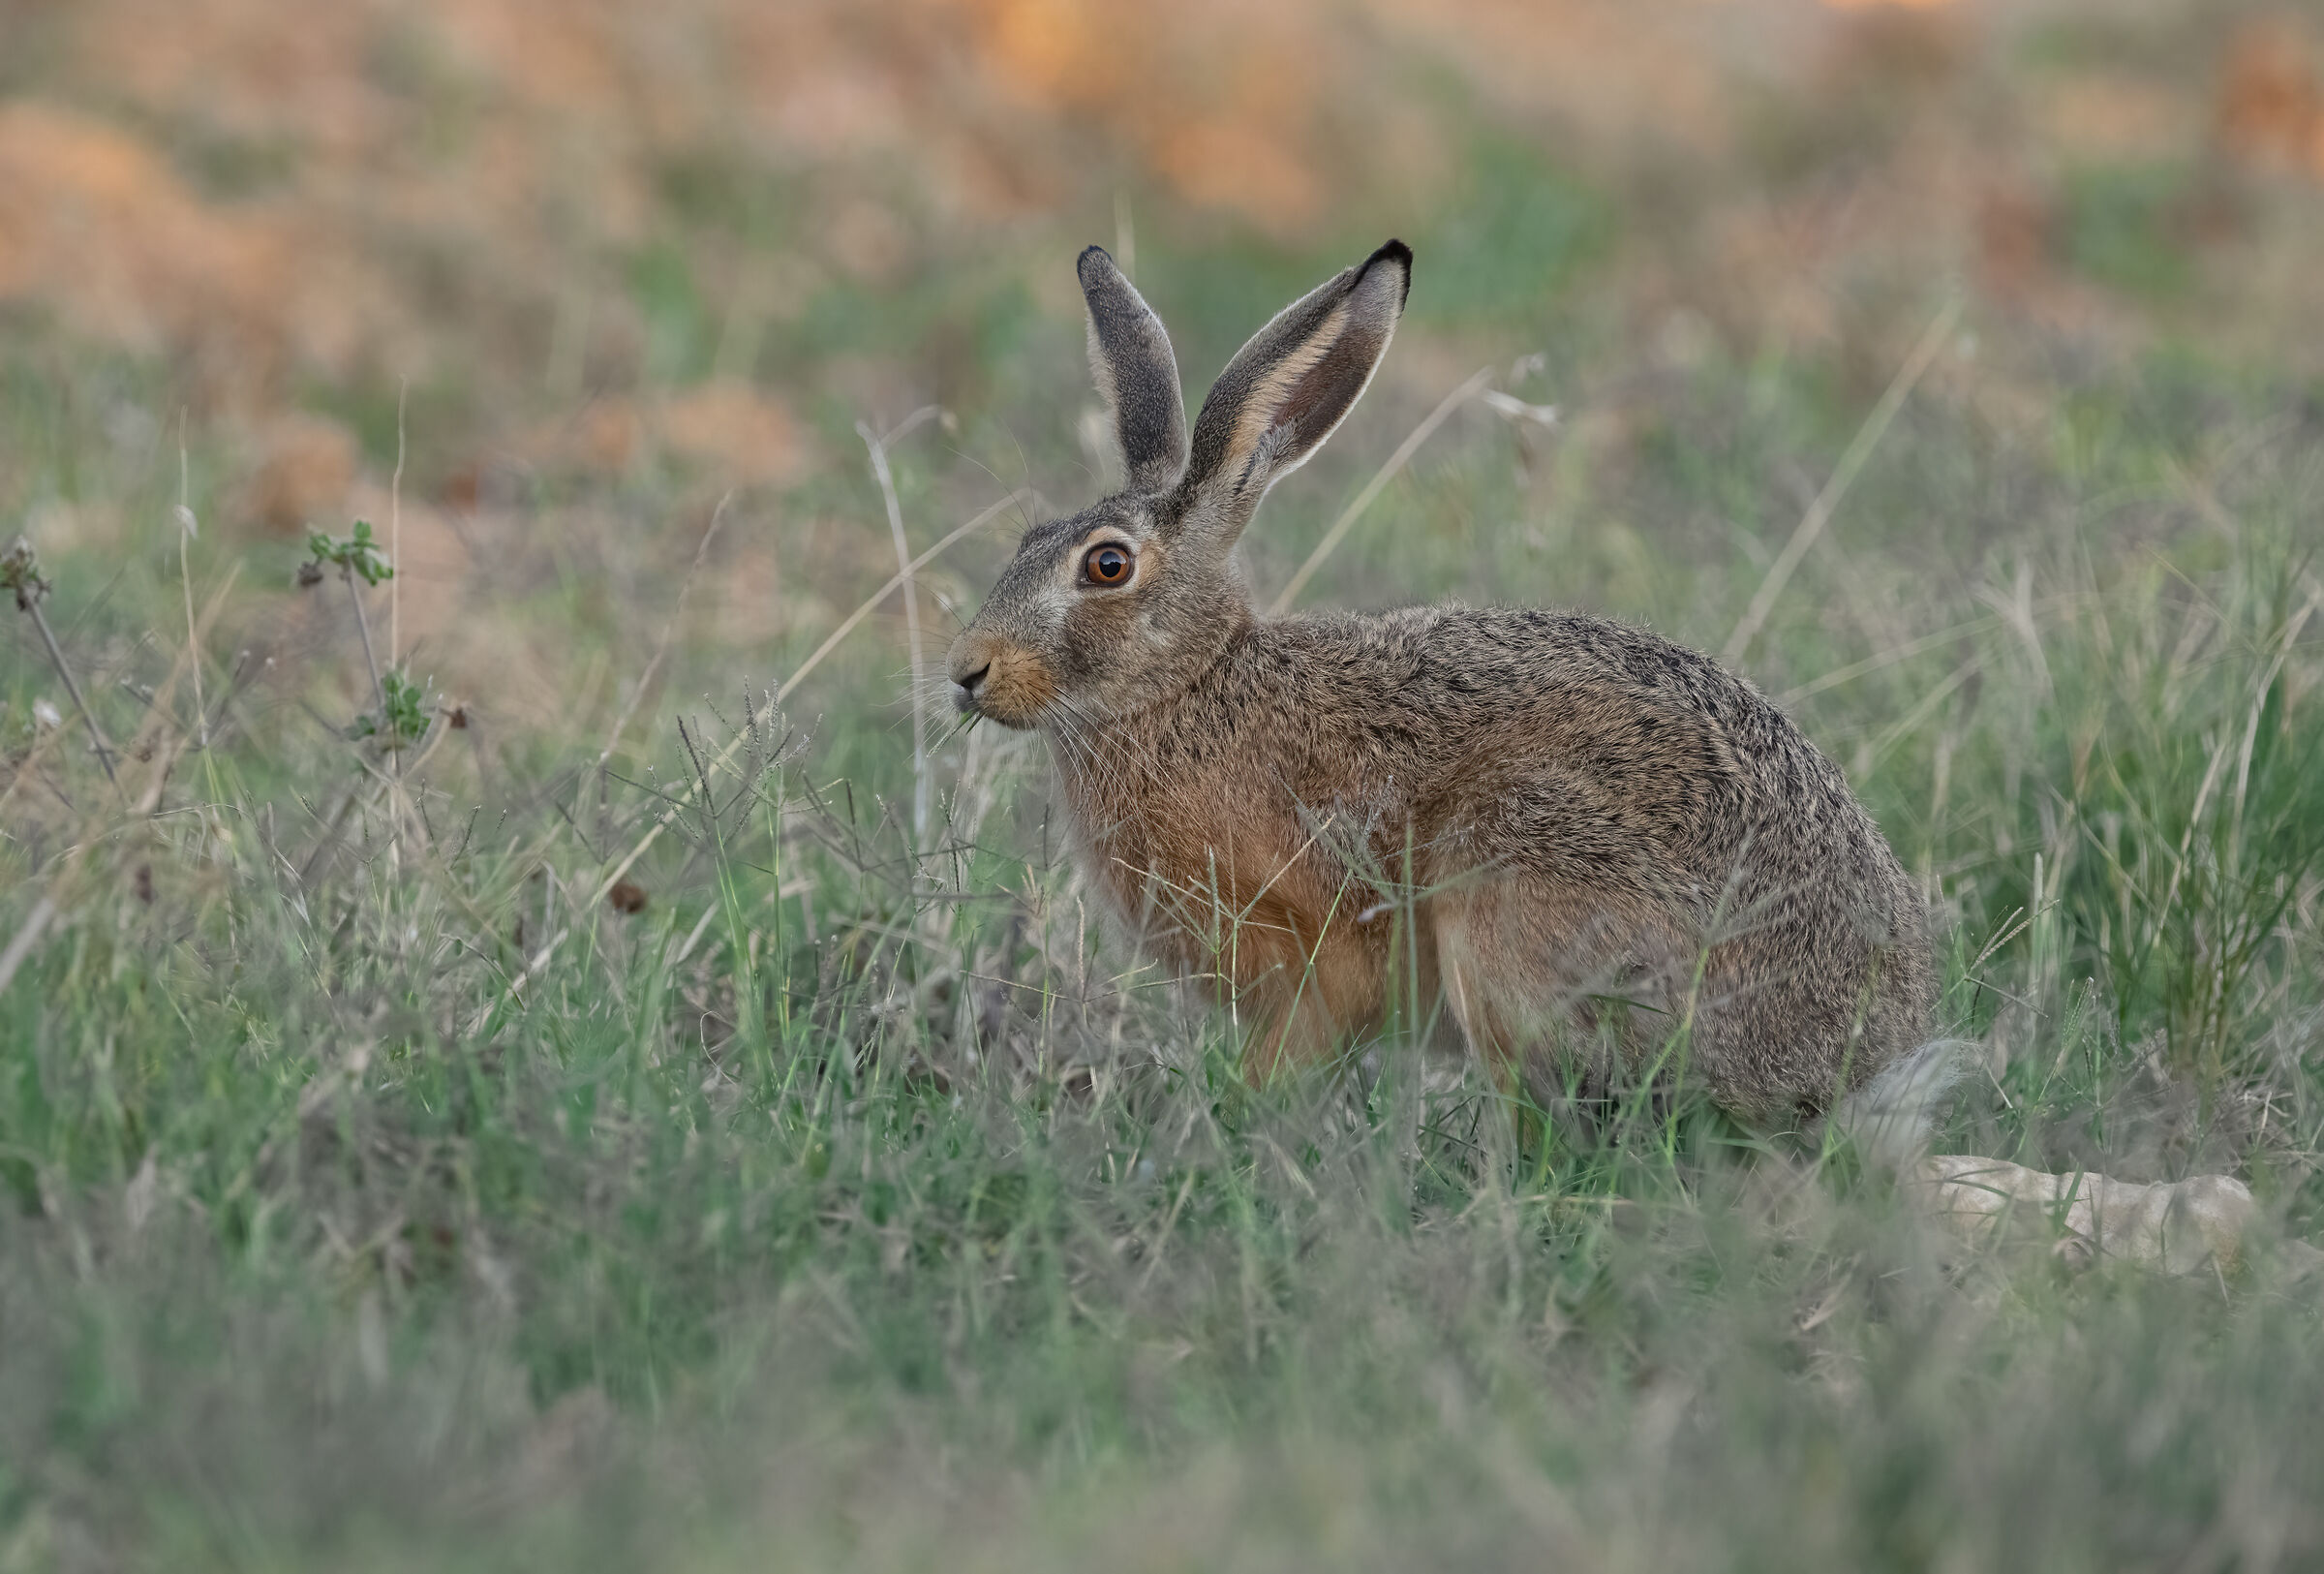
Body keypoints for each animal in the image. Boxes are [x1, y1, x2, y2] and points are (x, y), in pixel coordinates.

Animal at [946, 240, 1936, 1130]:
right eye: (1029, 537)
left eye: (1107, 566)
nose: (966, 671)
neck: (1188, 686)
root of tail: (1846, 1062)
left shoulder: (1316, 957)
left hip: (1514, 883)